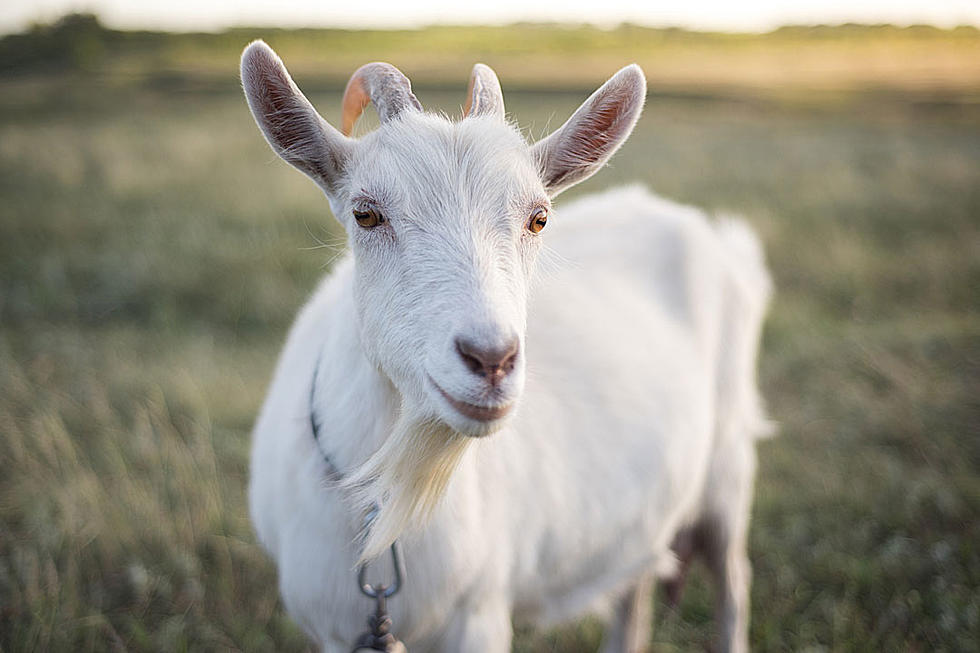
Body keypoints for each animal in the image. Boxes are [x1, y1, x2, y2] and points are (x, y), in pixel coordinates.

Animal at [241, 40, 768, 652]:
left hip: (729, 469)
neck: (388, 489)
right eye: (365, 213)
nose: (491, 360)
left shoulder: (479, 613)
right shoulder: (332, 631)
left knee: (734, 579)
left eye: (538, 219)